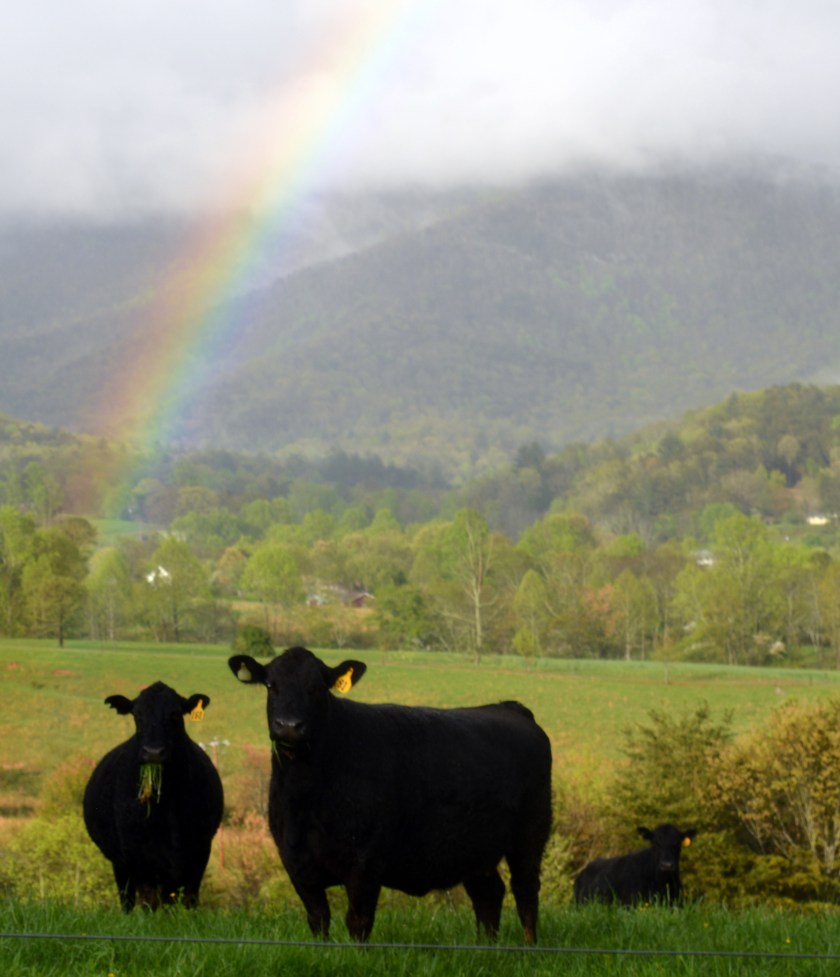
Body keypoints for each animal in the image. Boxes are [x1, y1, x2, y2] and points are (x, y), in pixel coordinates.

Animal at [83, 681, 224, 912]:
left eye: (175, 713)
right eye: (137, 714)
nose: (153, 752)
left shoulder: (200, 848)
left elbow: (189, 898)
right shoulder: (137, 852)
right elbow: (149, 899)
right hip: (120, 865)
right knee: (128, 899)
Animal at [228, 646, 553, 943]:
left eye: (317, 687)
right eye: (271, 685)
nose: (289, 726)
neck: (306, 797)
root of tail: (509, 707)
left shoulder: (366, 862)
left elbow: (358, 922)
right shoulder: (295, 861)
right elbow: (318, 920)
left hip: (530, 834)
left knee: (525, 892)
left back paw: (528, 948)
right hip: (475, 849)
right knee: (489, 894)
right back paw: (486, 948)